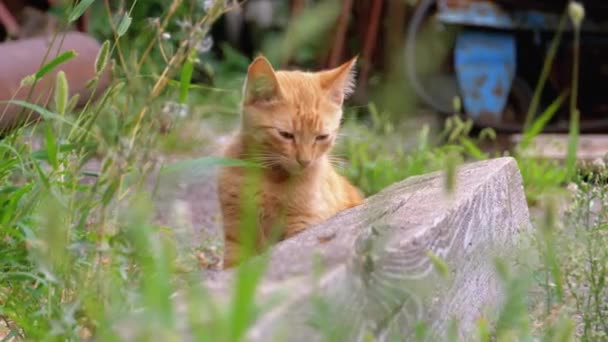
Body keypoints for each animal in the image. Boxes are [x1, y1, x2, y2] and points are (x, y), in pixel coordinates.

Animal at [217, 55, 360, 268]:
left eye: (321, 137)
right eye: (286, 135)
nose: (305, 161)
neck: (272, 178)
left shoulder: (305, 223)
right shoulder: (237, 227)